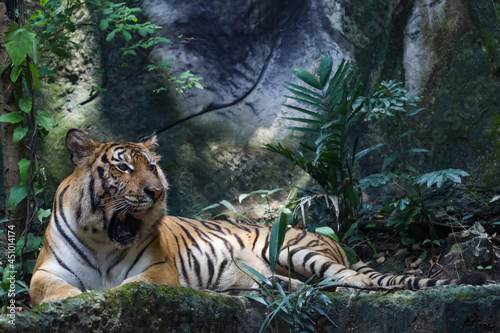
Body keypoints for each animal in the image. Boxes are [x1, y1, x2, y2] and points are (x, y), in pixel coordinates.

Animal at [28, 128, 488, 304]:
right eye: (123, 167)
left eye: (153, 167)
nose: (156, 193)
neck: (104, 240)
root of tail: (336, 242)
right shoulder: (44, 271)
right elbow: (53, 290)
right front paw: (76, 298)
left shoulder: (158, 270)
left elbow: (129, 287)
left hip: (293, 249)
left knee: (354, 280)